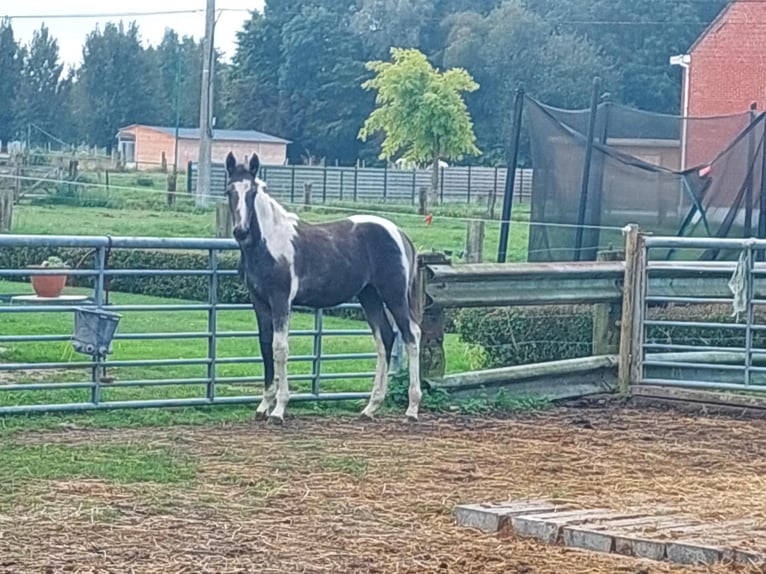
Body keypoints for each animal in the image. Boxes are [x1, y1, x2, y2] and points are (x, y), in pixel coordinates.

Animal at [222, 151, 426, 426]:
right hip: (369, 296)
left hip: (394, 295)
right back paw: (370, 407)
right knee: (384, 337)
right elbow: (265, 345)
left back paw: (412, 408)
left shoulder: (281, 300)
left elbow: (280, 348)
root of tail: (400, 233)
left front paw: (279, 410)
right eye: (229, 190)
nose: (241, 231)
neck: (269, 242)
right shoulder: (259, 301)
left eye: (252, 192)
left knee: (411, 335)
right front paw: (263, 406)